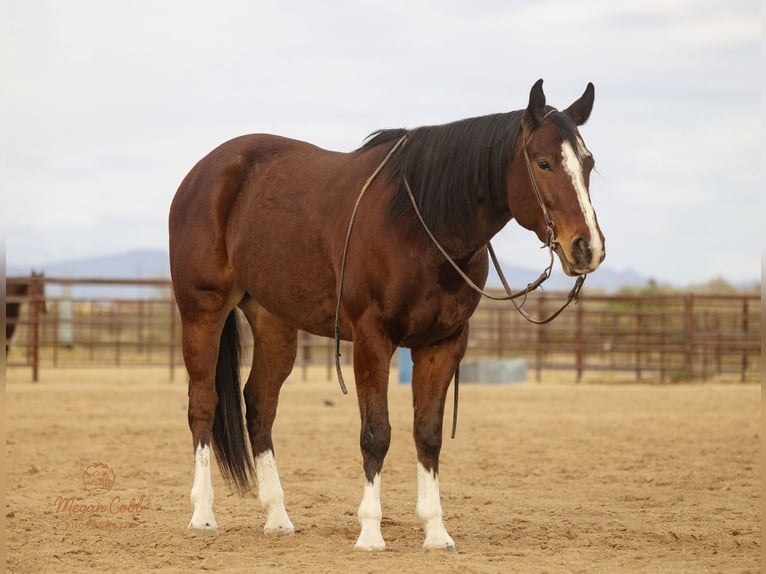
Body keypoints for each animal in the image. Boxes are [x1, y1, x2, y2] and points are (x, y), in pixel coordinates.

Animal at [169, 79, 605, 551]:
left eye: (588, 163)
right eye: (543, 162)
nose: (587, 247)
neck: (421, 225)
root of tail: (206, 171)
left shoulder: (442, 343)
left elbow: (427, 433)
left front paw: (436, 531)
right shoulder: (373, 338)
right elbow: (376, 434)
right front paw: (370, 532)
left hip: (273, 320)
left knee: (259, 406)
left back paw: (278, 516)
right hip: (202, 310)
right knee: (203, 403)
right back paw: (202, 514)